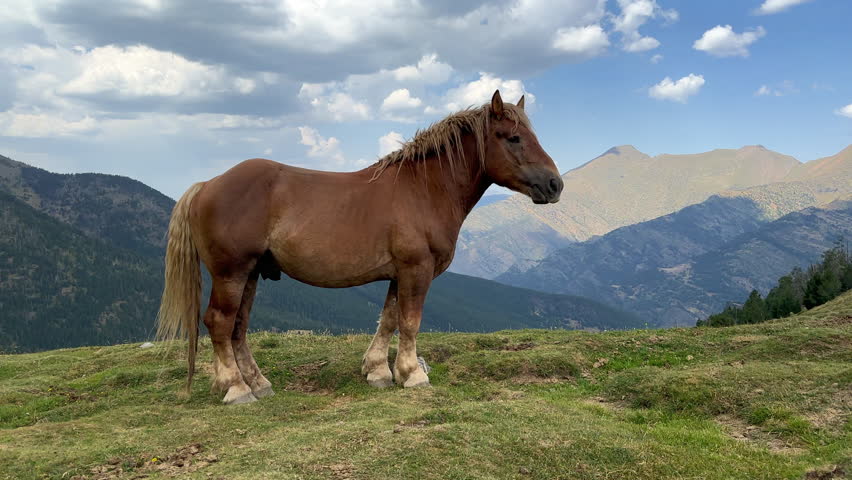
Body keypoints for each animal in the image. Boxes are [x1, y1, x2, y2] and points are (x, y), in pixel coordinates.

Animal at [156, 90, 563, 404]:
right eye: (512, 137)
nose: (555, 184)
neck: (423, 190)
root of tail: (208, 184)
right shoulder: (416, 270)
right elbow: (410, 322)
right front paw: (412, 374)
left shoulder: (399, 273)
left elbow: (389, 319)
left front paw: (378, 371)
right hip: (232, 273)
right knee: (220, 323)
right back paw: (237, 389)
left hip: (251, 274)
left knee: (238, 328)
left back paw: (258, 384)